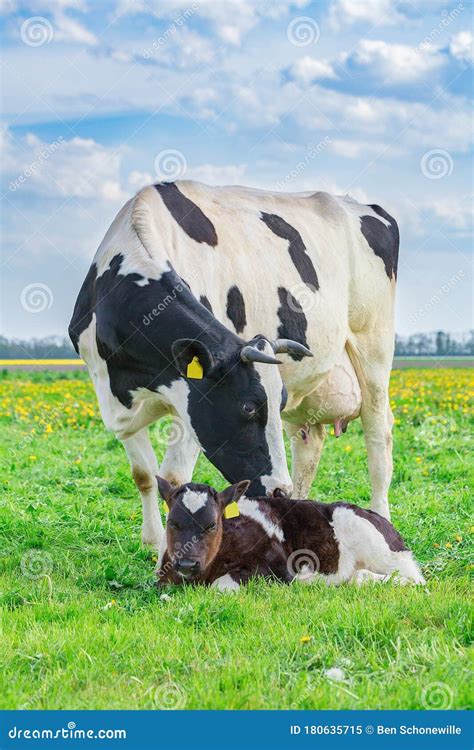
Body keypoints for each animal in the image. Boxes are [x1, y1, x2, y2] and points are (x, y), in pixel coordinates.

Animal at [67, 194, 312, 548]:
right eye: (248, 407)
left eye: (280, 404)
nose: (282, 491)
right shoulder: (116, 402)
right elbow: (144, 475)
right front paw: (152, 540)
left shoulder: (188, 401)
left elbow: (173, 476)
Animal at [132, 184, 396, 524]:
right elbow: (144, 473)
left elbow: (174, 476)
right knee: (309, 444)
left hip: (373, 349)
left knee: (379, 433)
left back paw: (381, 515)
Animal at [156, 478, 426, 592]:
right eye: (171, 522)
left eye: (212, 525)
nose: (187, 563)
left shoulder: (278, 571)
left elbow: (220, 586)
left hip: (380, 552)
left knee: (410, 579)